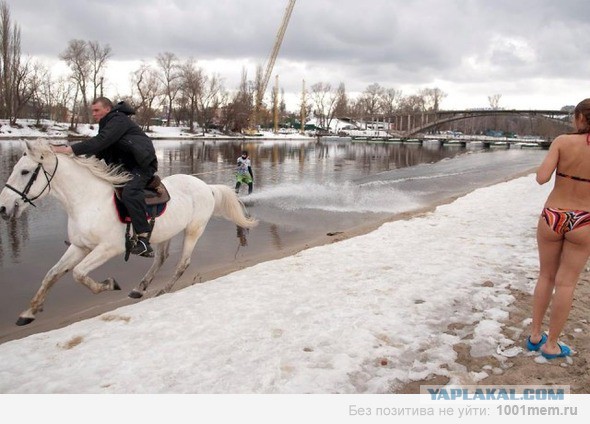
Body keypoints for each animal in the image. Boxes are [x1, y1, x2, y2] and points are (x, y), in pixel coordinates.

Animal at [0, 139, 260, 324]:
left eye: (25, 171)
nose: (3, 208)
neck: (88, 200)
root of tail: (207, 187)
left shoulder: (108, 248)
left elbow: (78, 274)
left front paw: (109, 284)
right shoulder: (80, 246)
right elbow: (52, 274)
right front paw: (29, 312)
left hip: (193, 230)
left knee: (182, 263)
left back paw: (162, 290)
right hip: (166, 233)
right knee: (161, 259)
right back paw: (140, 288)